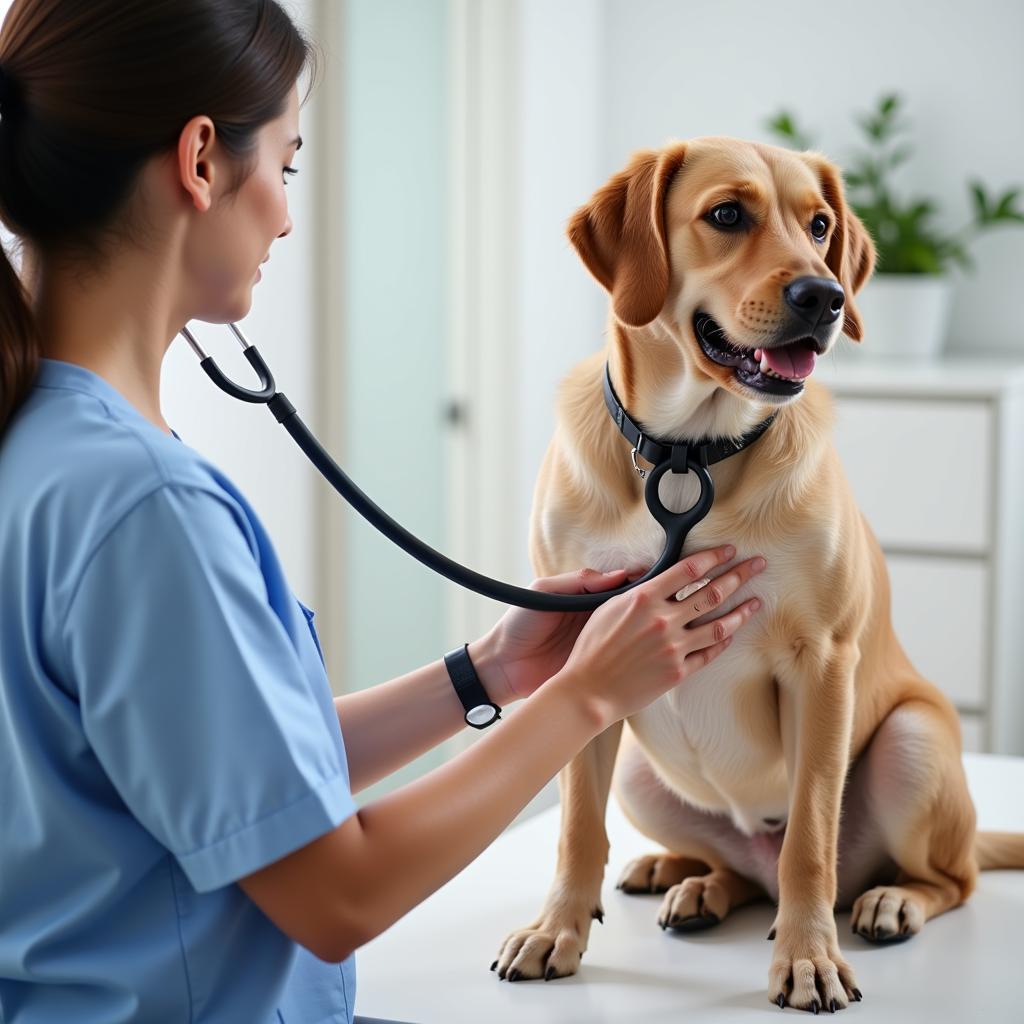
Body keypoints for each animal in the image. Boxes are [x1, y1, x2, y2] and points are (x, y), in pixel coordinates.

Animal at [489, 138, 1024, 1015]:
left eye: (820, 225)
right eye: (727, 214)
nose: (825, 296)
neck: (688, 451)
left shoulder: (822, 664)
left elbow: (808, 836)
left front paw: (807, 959)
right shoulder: (588, 656)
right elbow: (575, 827)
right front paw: (554, 929)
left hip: (910, 745)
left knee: (942, 877)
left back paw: (890, 901)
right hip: (640, 773)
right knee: (736, 869)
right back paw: (687, 879)